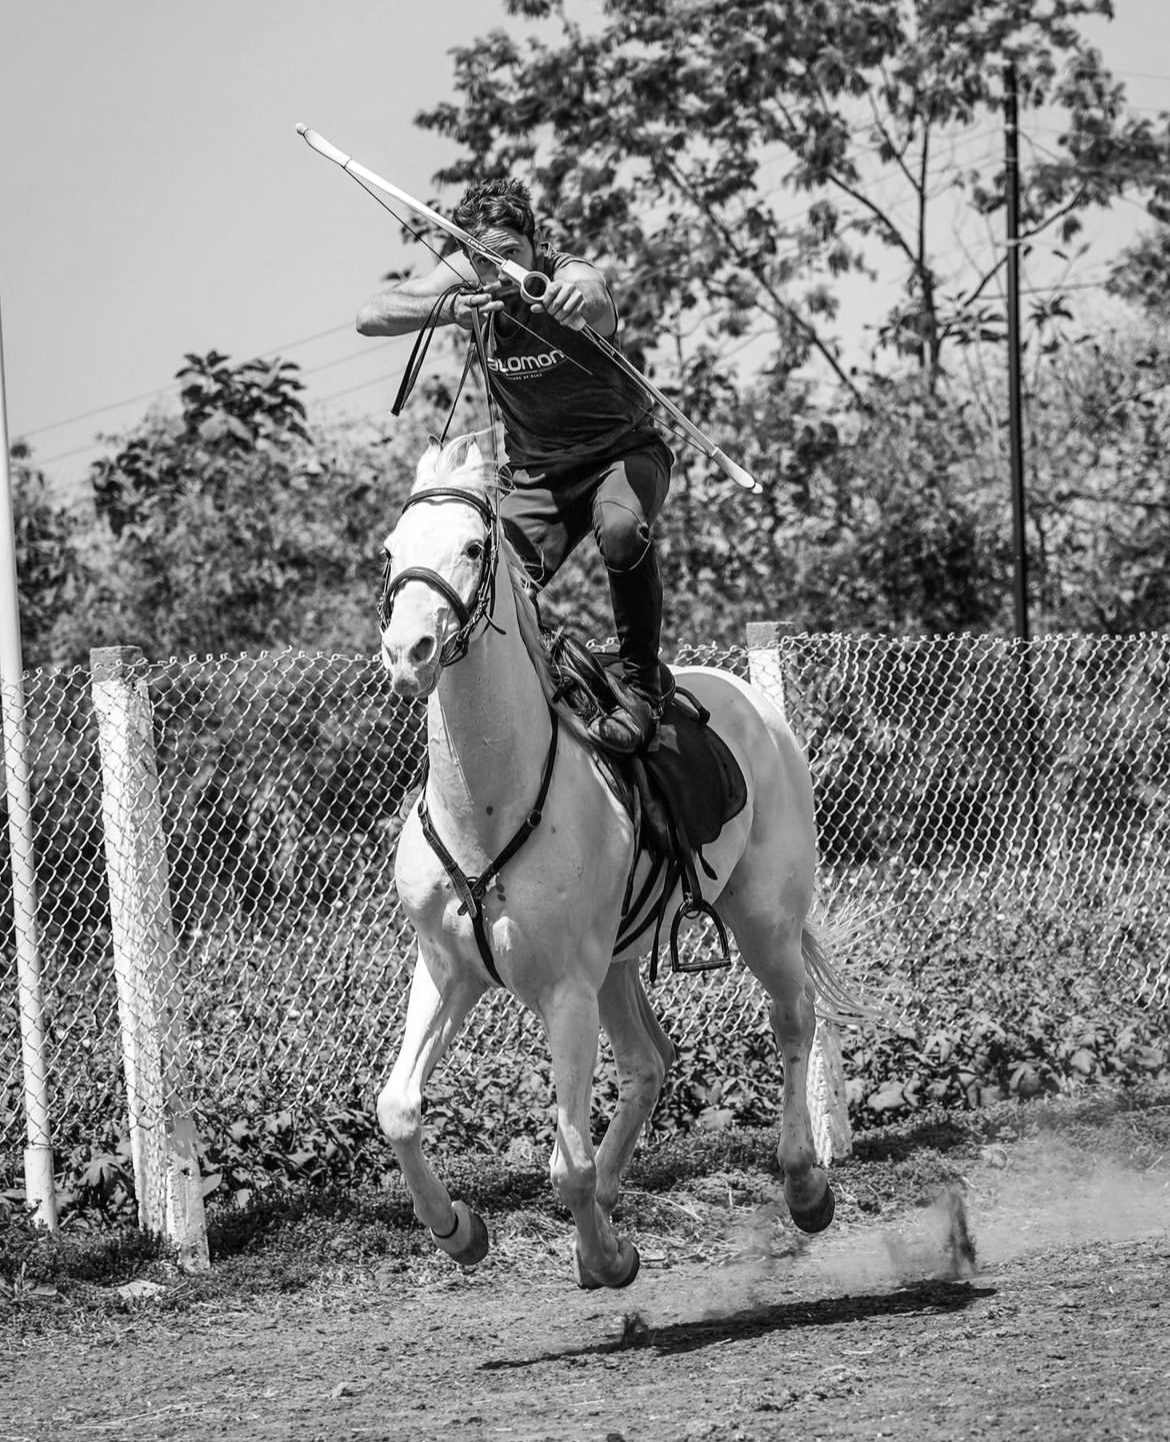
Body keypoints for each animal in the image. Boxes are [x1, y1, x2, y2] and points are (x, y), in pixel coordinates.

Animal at [375, 432, 859, 1292]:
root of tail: (749, 700)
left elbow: (561, 1160)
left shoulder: (564, 990)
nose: (408, 653)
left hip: (762, 921)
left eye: (471, 547)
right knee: (650, 1062)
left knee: (792, 1019)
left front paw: (605, 1256)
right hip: (618, 965)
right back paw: (607, 1198)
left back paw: (803, 1184)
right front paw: (459, 1231)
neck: (490, 803)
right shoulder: (444, 967)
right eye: (392, 551)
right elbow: (398, 1109)